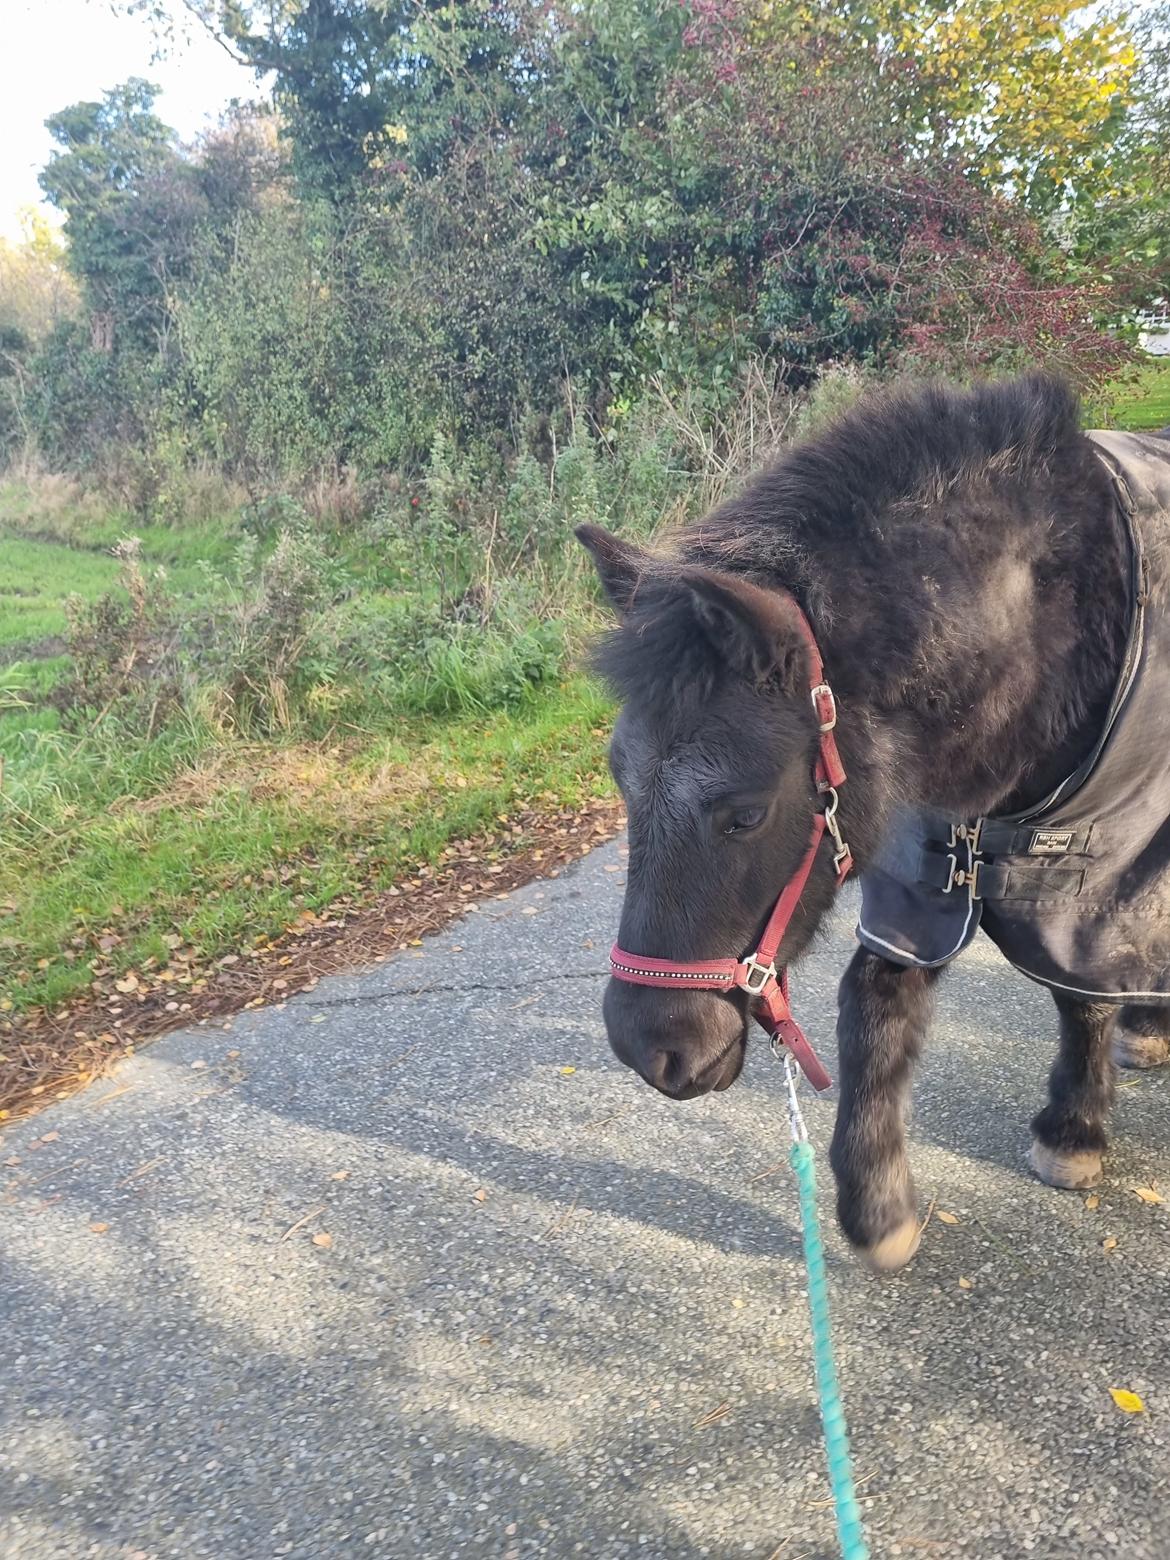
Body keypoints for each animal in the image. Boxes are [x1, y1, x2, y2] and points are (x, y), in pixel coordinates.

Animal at [583, 374, 1170, 1266]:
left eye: (745, 814)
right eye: (620, 777)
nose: (652, 1048)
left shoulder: (1095, 872)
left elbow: (1081, 997)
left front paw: (1073, 1131)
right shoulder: (924, 869)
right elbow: (874, 1006)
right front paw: (877, 1202)